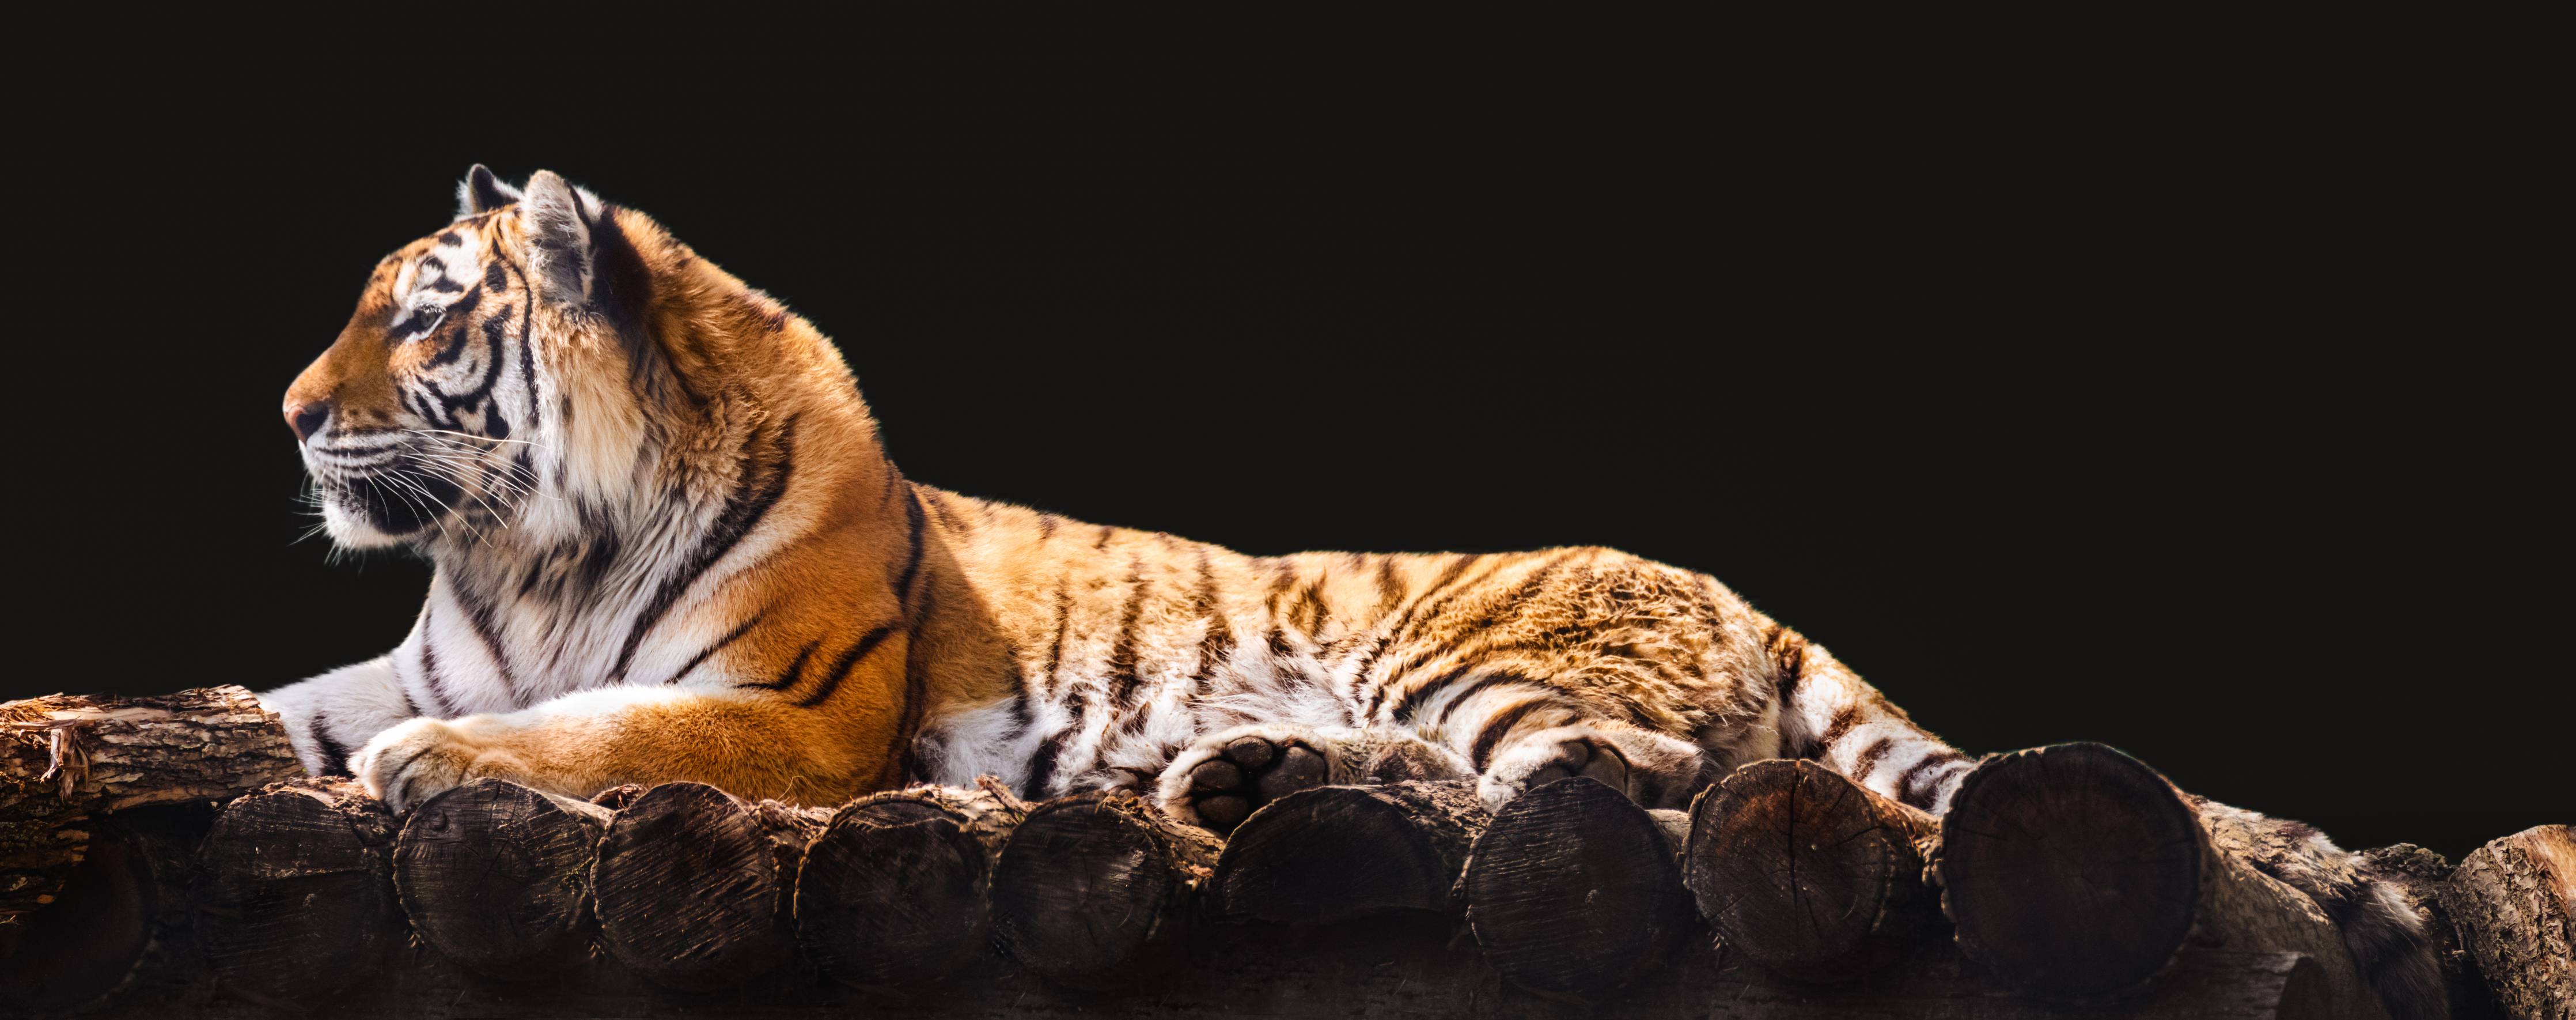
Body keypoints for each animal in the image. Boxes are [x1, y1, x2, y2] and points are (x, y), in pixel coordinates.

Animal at [257, 167, 2443, 1017]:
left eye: (418, 319)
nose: (285, 413)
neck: (524, 548)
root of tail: (1741, 589)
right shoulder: (398, 653)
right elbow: (277, 709)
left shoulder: (795, 708)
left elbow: (592, 726)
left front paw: (444, 772)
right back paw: (1229, 788)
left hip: (1468, 664)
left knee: (1614, 790)